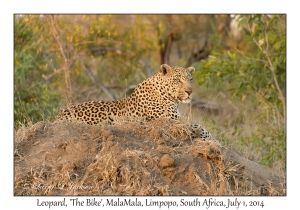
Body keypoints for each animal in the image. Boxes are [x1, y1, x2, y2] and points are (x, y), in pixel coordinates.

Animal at [54, 63, 213, 140]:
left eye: (190, 80)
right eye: (177, 80)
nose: (190, 91)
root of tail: (56, 118)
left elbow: (198, 125)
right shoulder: (169, 120)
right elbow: (198, 126)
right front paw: (210, 138)